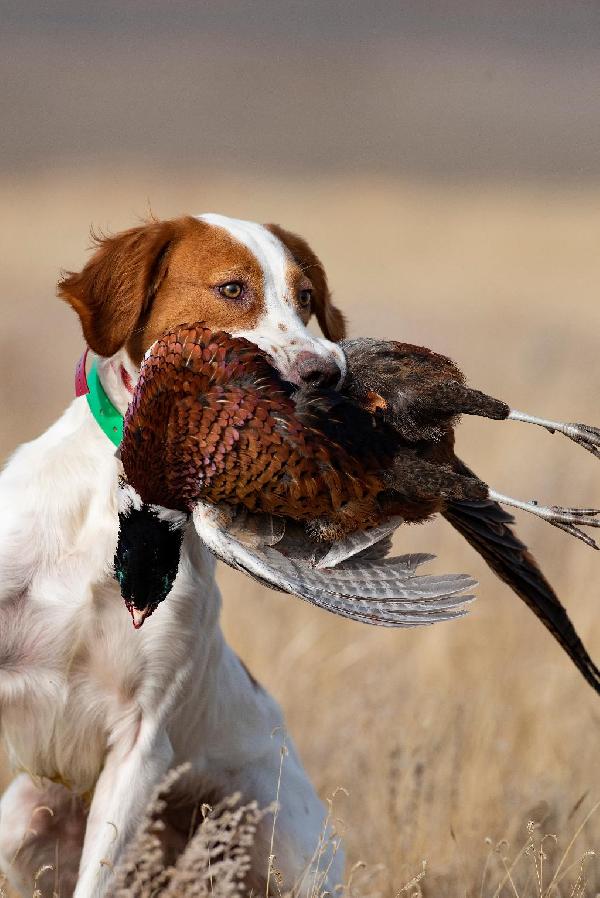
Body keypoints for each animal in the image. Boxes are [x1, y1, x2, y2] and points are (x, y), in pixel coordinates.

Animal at [0, 215, 346, 896]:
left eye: (307, 298)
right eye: (232, 288)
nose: (328, 374)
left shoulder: (142, 740)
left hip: (288, 846)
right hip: (21, 816)